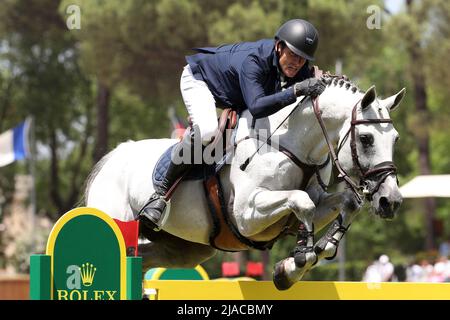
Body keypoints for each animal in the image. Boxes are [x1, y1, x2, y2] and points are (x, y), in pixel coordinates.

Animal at [84, 77, 404, 290]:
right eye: (366, 139)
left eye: (396, 139)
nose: (391, 201)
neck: (291, 143)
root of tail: (110, 158)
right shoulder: (246, 215)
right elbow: (302, 201)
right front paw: (300, 258)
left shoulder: (313, 201)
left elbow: (343, 203)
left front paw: (299, 262)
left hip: (186, 248)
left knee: (144, 263)